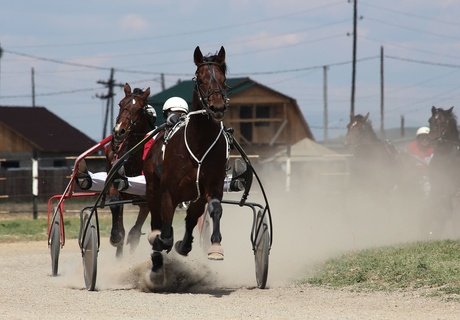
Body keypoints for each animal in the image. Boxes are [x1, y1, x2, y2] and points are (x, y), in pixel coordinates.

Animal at [105, 83, 153, 258]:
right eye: (120, 104)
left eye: (139, 109)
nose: (120, 131)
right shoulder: (115, 186)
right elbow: (114, 205)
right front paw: (115, 237)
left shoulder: (147, 199)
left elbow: (135, 232)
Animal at [145, 45, 229, 272]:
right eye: (200, 79)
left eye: (224, 77)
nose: (217, 107)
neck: (199, 144)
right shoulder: (168, 191)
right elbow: (165, 234)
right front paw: (160, 241)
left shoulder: (213, 184)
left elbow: (215, 209)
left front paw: (215, 247)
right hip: (152, 186)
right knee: (156, 218)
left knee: (192, 215)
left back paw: (184, 244)